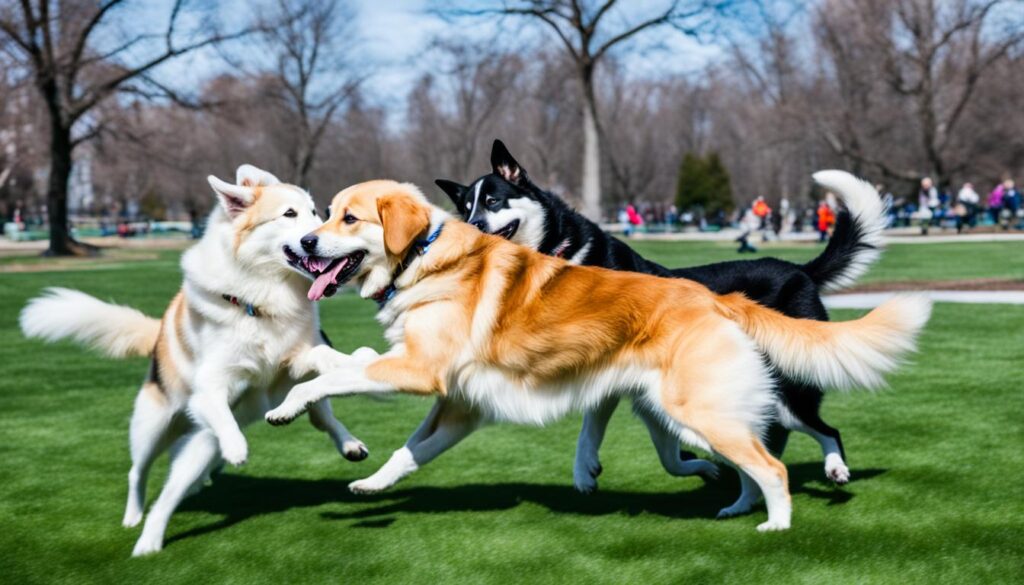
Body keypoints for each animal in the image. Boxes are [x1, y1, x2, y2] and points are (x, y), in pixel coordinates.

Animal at [20, 165, 368, 557]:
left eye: (315, 212)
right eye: (289, 214)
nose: (315, 238)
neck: (264, 294)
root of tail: (157, 334)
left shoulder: (293, 361)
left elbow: (321, 357)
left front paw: (351, 361)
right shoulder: (213, 386)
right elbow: (220, 409)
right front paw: (236, 447)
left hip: (200, 443)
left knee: (320, 418)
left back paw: (349, 445)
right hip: (155, 428)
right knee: (144, 477)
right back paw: (140, 527)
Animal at [434, 139, 888, 502]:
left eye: (493, 202)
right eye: (465, 209)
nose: (472, 228)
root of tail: (800, 269)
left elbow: (594, 430)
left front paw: (586, 471)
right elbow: (660, 452)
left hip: (787, 385)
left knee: (824, 428)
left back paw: (834, 468)